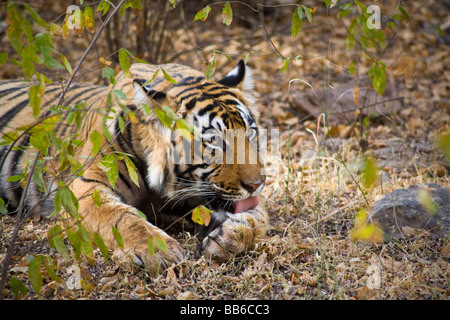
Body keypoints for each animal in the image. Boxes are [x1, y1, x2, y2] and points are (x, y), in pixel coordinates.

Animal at [0, 60, 268, 272]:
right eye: (214, 141)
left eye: (251, 133)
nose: (257, 184)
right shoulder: (85, 188)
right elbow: (119, 216)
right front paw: (158, 250)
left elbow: (260, 217)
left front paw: (229, 238)